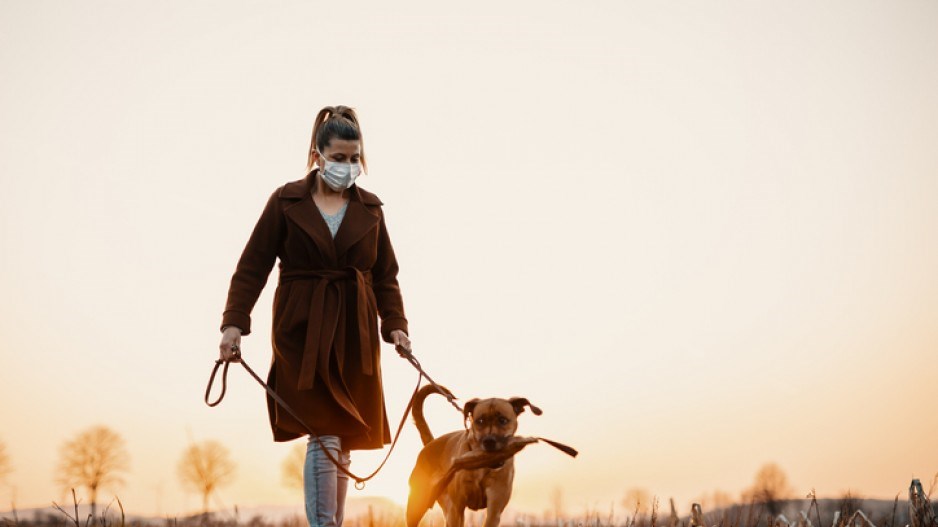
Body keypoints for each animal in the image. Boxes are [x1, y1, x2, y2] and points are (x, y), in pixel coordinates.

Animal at [404, 384, 540, 527]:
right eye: (480, 421)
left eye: (503, 420)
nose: (489, 441)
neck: (483, 465)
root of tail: (431, 443)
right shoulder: (457, 508)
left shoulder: (494, 509)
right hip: (417, 506)